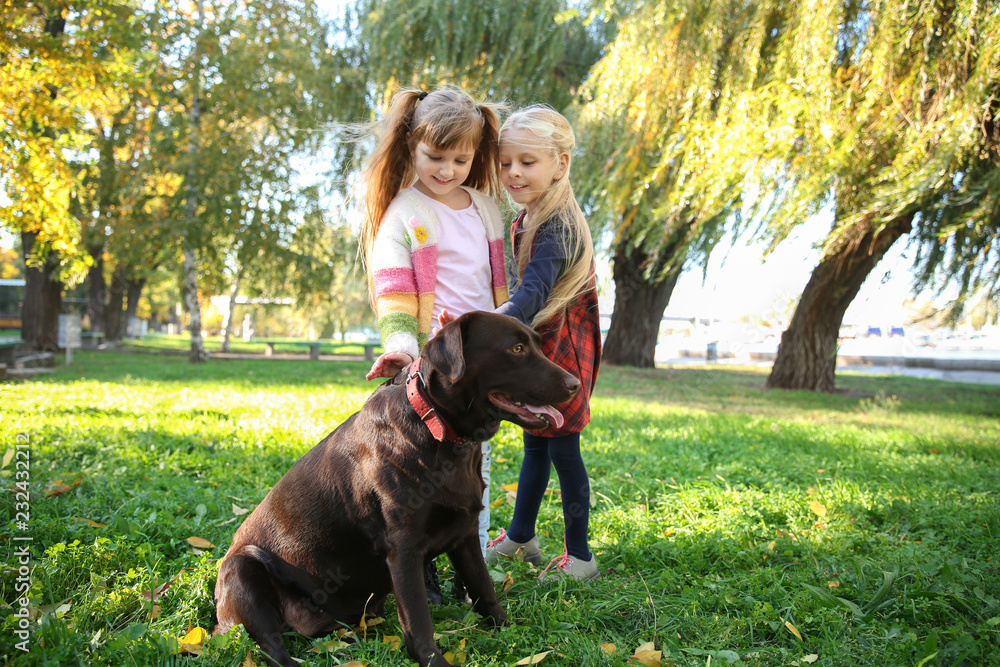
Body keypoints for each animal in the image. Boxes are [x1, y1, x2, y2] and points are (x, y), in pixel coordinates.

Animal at [215, 314, 584, 667]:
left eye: (537, 345)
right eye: (516, 349)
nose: (576, 385)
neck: (439, 432)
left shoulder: (465, 533)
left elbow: (484, 587)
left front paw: (507, 628)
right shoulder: (403, 548)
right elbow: (419, 621)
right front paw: (435, 660)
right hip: (244, 567)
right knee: (270, 648)